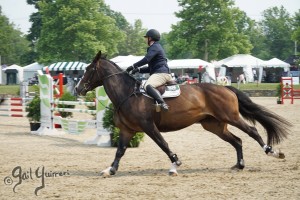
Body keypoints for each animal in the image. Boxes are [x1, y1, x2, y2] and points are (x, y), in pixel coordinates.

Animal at [75, 50, 290, 177]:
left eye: (89, 69)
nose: (77, 89)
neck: (128, 94)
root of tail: (226, 88)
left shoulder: (148, 126)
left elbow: (163, 145)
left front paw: (175, 164)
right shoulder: (128, 130)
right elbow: (120, 150)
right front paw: (110, 169)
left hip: (231, 117)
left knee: (252, 131)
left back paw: (271, 151)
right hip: (214, 125)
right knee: (237, 141)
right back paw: (240, 165)